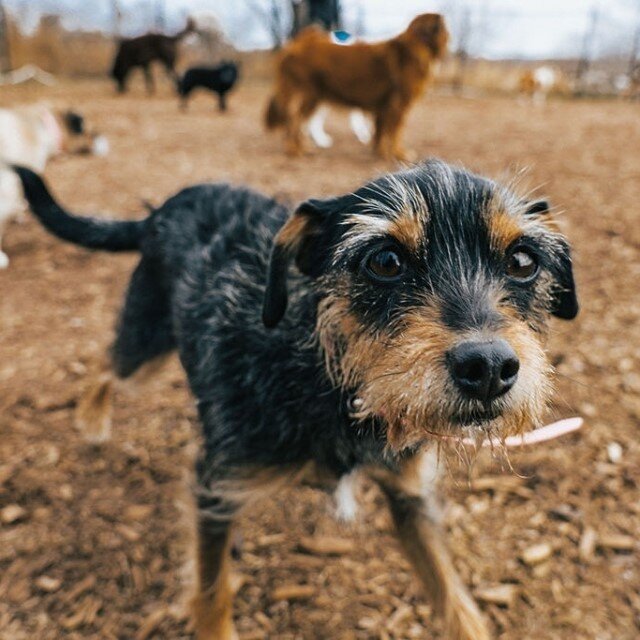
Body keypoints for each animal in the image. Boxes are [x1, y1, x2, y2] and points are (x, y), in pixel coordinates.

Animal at [13, 161, 576, 640]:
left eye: (522, 260)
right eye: (385, 260)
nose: (488, 368)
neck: (332, 383)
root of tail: (162, 209)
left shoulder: (410, 495)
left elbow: (454, 597)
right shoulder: (216, 487)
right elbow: (213, 591)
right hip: (145, 342)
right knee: (105, 365)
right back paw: (92, 420)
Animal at [262, 14, 448, 159]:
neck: (415, 47)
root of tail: (296, 44)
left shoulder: (384, 106)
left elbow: (380, 132)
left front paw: (379, 152)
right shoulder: (398, 105)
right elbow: (396, 132)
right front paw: (398, 154)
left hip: (313, 97)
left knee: (297, 122)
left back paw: (303, 147)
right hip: (308, 95)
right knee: (293, 121)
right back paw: (294, 150)